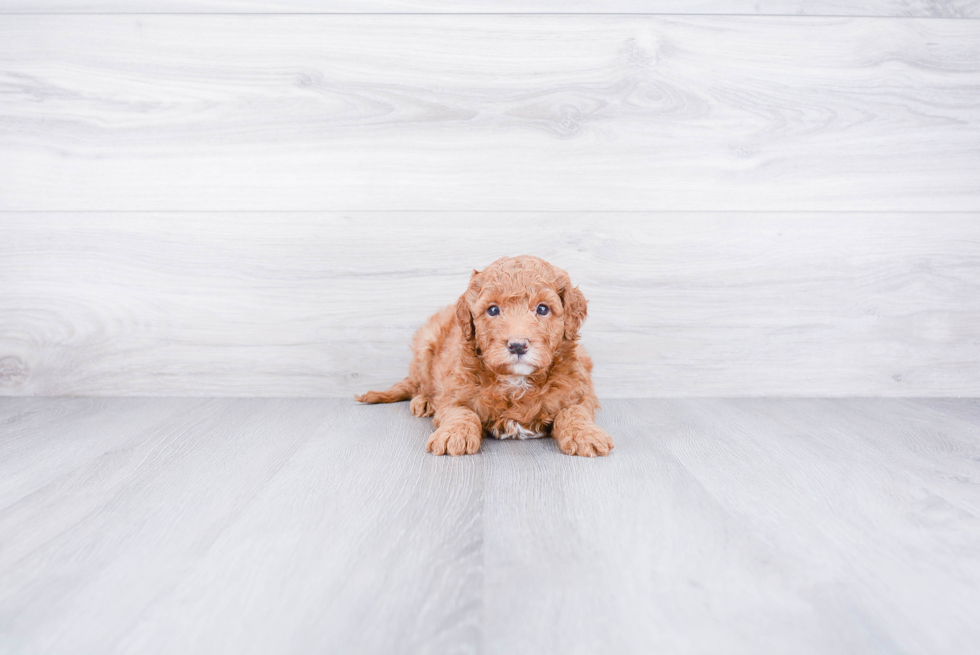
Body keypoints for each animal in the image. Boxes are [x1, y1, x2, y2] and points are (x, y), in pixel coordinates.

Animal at [352, 254, 612, 458]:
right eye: (493, 310)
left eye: (542, 309)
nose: (517, 345)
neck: (516, 382)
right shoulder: (455, 394)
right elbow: (462, 412)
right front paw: (453, 435)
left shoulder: (579, 392)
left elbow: (574, 412)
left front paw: (586, 434)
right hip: (425, 345)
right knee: (418, 383)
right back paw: (424, 400)